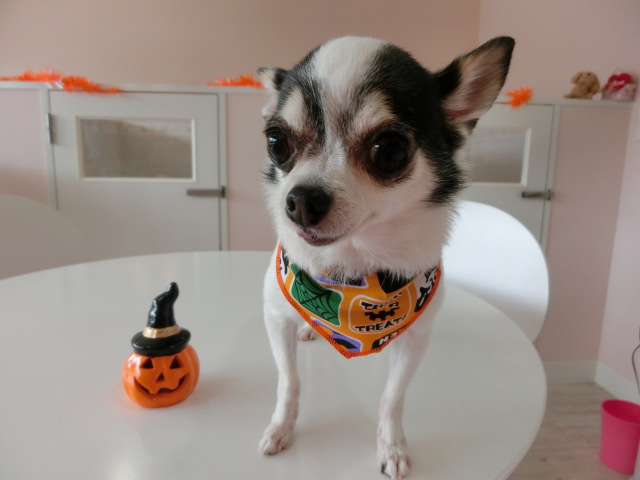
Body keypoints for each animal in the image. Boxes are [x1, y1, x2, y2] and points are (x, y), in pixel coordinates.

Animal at [257, 36, 514, 479]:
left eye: (389, 150)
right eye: (276, 141)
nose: (301, 200)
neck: (353, 266)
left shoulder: (415, 338)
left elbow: (392, 397)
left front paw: (391, 446)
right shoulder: (275, 314)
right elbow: (289, 380)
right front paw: (281, 427)